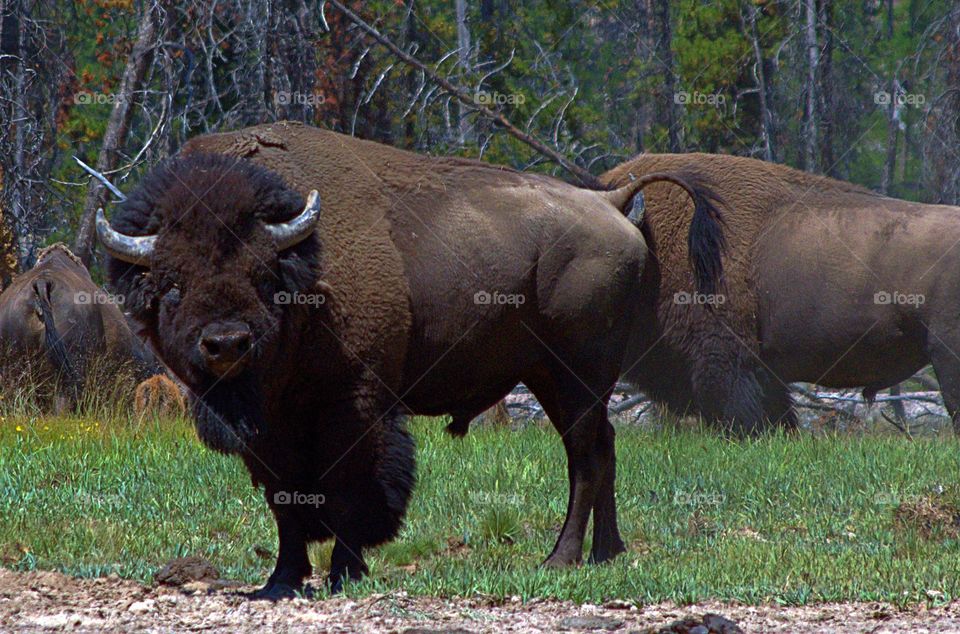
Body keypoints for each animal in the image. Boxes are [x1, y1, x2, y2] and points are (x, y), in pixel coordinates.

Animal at [98, 121, 724, 598]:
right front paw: (280, 581)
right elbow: (285, 500)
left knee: (586, 458)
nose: (226, 343)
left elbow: (352, 487)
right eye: (171, 283)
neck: (307, 268)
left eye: (263, 275)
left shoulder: (355, 407)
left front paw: (344, 573)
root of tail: (610, 202)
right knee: (603, 447)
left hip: (577, 375)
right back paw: (605, 553)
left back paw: (559, 559)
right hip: (557, 379)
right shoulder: (270, 430)